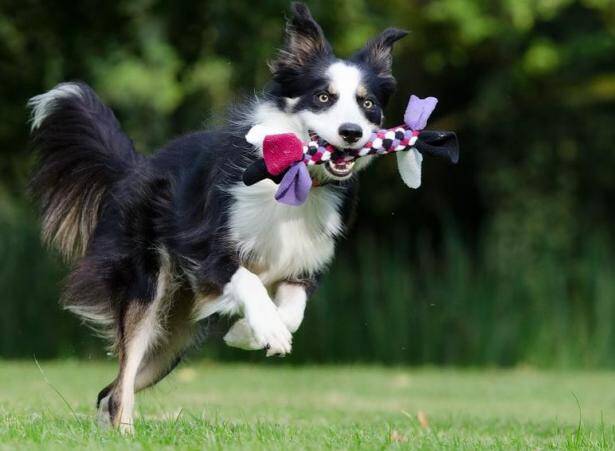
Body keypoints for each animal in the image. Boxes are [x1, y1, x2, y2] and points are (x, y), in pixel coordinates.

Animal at [26, 3, 406, 434]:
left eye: (367, 103)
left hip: (173, 337)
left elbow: (293, 311)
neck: (295, 179)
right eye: (324, 96)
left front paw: (249, 333)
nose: (352, 132)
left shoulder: (306, 263)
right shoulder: (203, 244)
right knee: (122, 380)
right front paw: (266, 329)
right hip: (148, 288)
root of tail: (136, 168)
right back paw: (126, 434)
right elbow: (248, 280)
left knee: (111, 390)